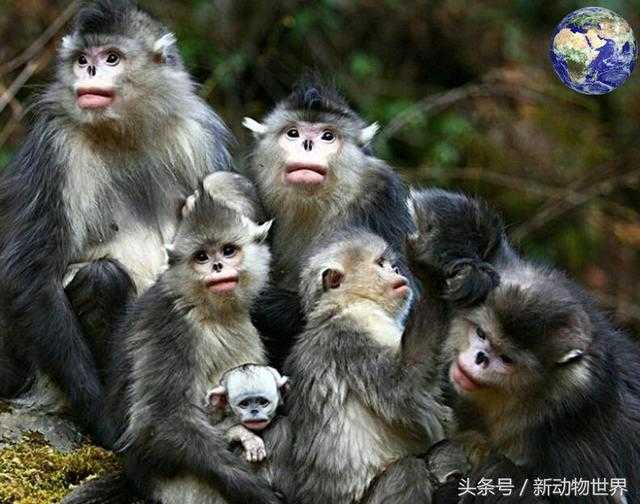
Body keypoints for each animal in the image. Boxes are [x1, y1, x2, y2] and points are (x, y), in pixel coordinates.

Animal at [0, 0, 232, 446]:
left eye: (111, 58)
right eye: (82, 60)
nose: (90, 71)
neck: (125, 132)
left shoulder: (200, 135)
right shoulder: (56, 146)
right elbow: (27, 272)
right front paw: (105, 422)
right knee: (100, 278)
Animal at [285, 229, 451, 504]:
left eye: (389, 264)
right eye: (381, 264)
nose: (396, 269)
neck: (347, 304)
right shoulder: (349, 336)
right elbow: (404, 388)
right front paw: (432, 280)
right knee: (408, 471)